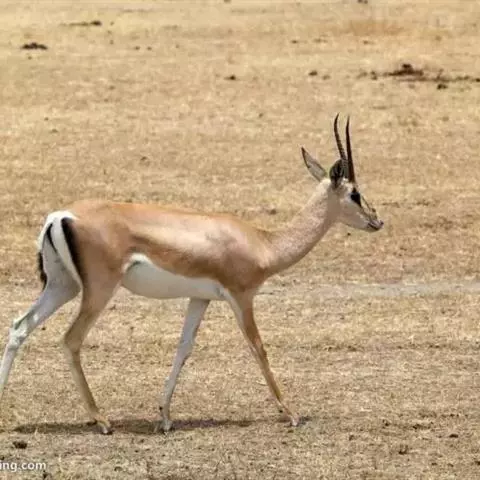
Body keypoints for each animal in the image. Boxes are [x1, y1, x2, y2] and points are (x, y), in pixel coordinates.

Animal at [0, 115, 383, 434]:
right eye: (355, 193)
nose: (377, 220)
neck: (263, 242)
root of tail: (60, 215)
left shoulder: (200, 299)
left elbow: (183, 348)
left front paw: (165, 417)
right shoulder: (241, 297)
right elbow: (258, 348)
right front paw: (291, 414)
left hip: (62, 286)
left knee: (19, 327)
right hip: (98, 291)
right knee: (71, 339)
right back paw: (103, 421)